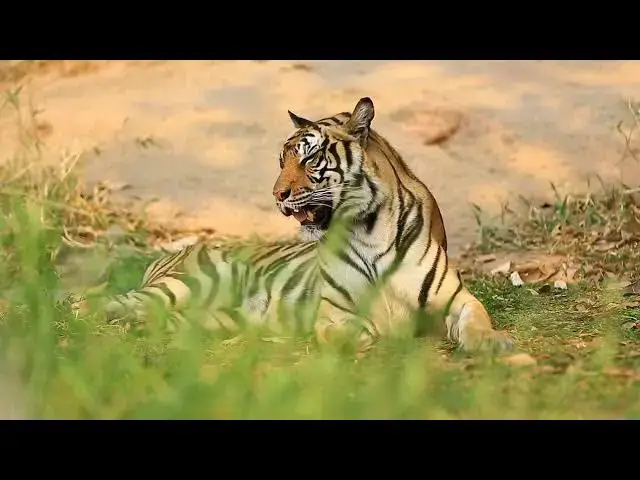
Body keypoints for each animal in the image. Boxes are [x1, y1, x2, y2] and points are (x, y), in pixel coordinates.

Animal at [78, 97, 514, 354]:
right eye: (281, 161)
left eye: (309, 159)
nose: (277, 195)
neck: (369, 229)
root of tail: (178, 250)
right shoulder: (332, 313)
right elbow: (354, 329)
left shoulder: (457, 299)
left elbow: (477, 321)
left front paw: (497, 344)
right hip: (183, 284)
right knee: (99, 301)